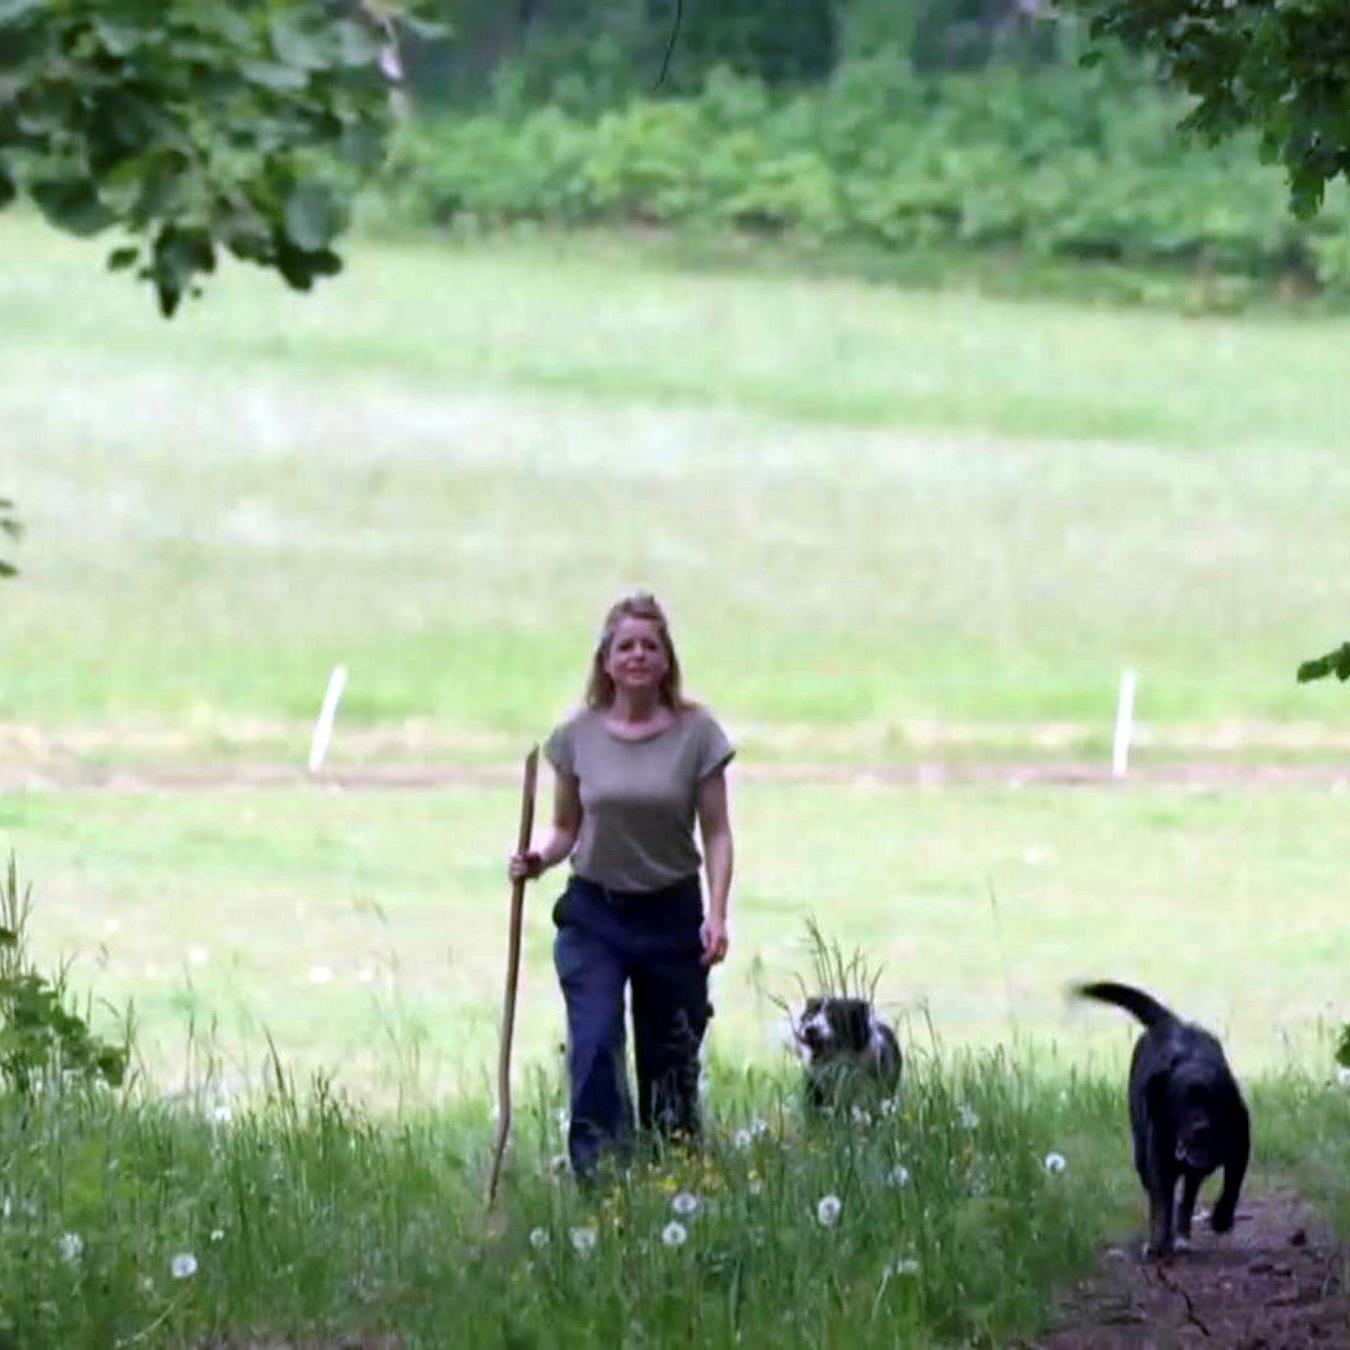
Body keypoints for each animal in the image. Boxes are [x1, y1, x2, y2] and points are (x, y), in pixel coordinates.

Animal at [1074, 982, 1252, 1252]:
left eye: (1213, 1102)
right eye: (1181, 1103)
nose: (1200, 1127)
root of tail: (1171, 1023)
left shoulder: (1239, 1146)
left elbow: (1232, 1186)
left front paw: (1221, 1218)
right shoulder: (1158, 1159)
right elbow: (1162, 1203)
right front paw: (1158, 1241)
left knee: (1188, 1197)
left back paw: (1182, 1235)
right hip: (1141, 1155)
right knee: (1158, 1197)